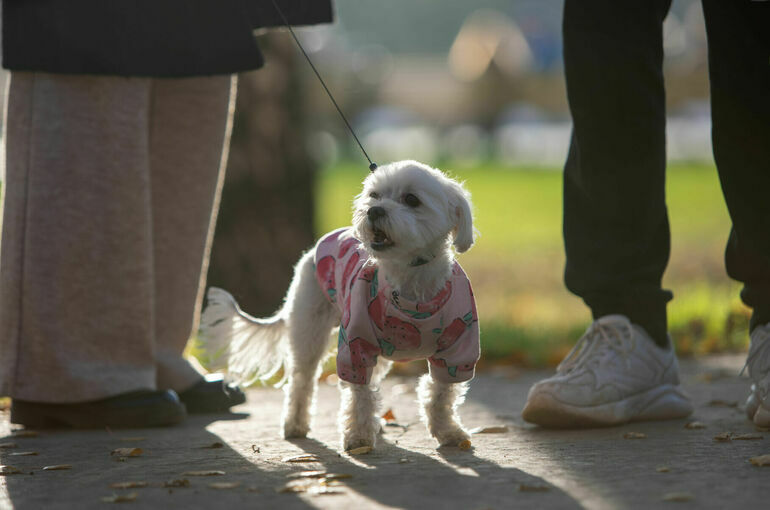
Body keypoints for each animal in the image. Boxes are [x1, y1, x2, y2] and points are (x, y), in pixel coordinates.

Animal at [196, 160, 480, 450]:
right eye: (374, 195)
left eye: (412, 199)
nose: (374, 210)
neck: (410, 283)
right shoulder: (355, 345)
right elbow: (359, 395)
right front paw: (359, 437)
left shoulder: (457, 351)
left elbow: (440, 394)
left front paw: (449, 432)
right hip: (309, 328)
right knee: (302, 380)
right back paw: (295, 424)